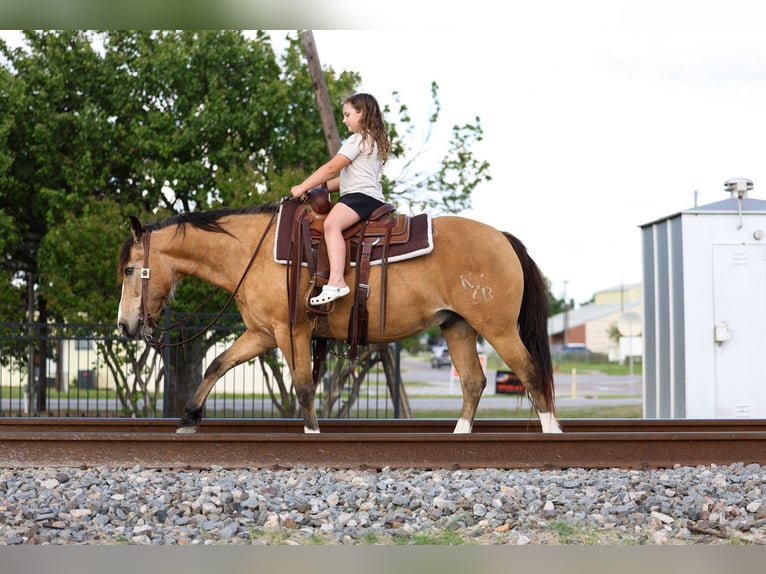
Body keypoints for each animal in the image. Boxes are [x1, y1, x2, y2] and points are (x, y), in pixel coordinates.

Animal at [116, 202, 562, 434]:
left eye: (129, 270)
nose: (125, 326)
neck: (253, 252)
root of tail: (503, 238)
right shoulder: (262, 332)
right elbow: (218, 364)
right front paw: (189, 417)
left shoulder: (289, 331)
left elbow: (302, 385)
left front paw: (312, 431)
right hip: (458, 326)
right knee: (473, 381)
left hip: (497, 328)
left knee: (530, 372)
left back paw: (552, 432)